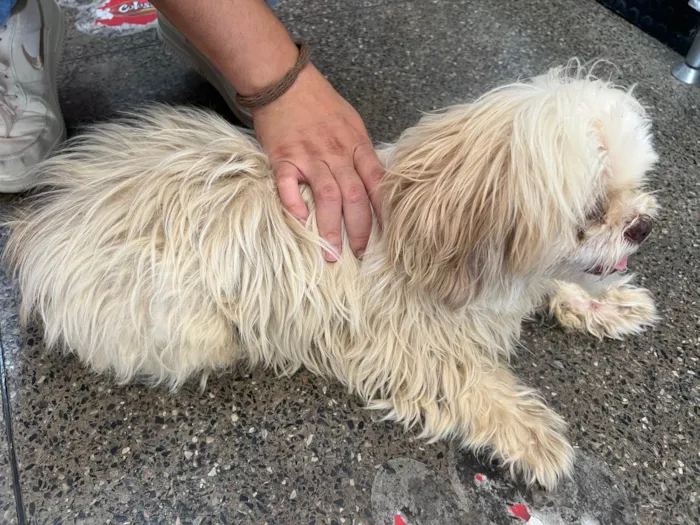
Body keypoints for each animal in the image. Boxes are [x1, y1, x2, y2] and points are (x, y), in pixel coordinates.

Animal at [2, 63, 660, 490]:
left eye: (636, 183)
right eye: (591, 211)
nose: (643, 225)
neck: (426, 222)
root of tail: (43, 220)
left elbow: (556, 284)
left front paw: (605, 303)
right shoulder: (396, 345)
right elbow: (468, 377)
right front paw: (530, 431)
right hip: (193, 332)